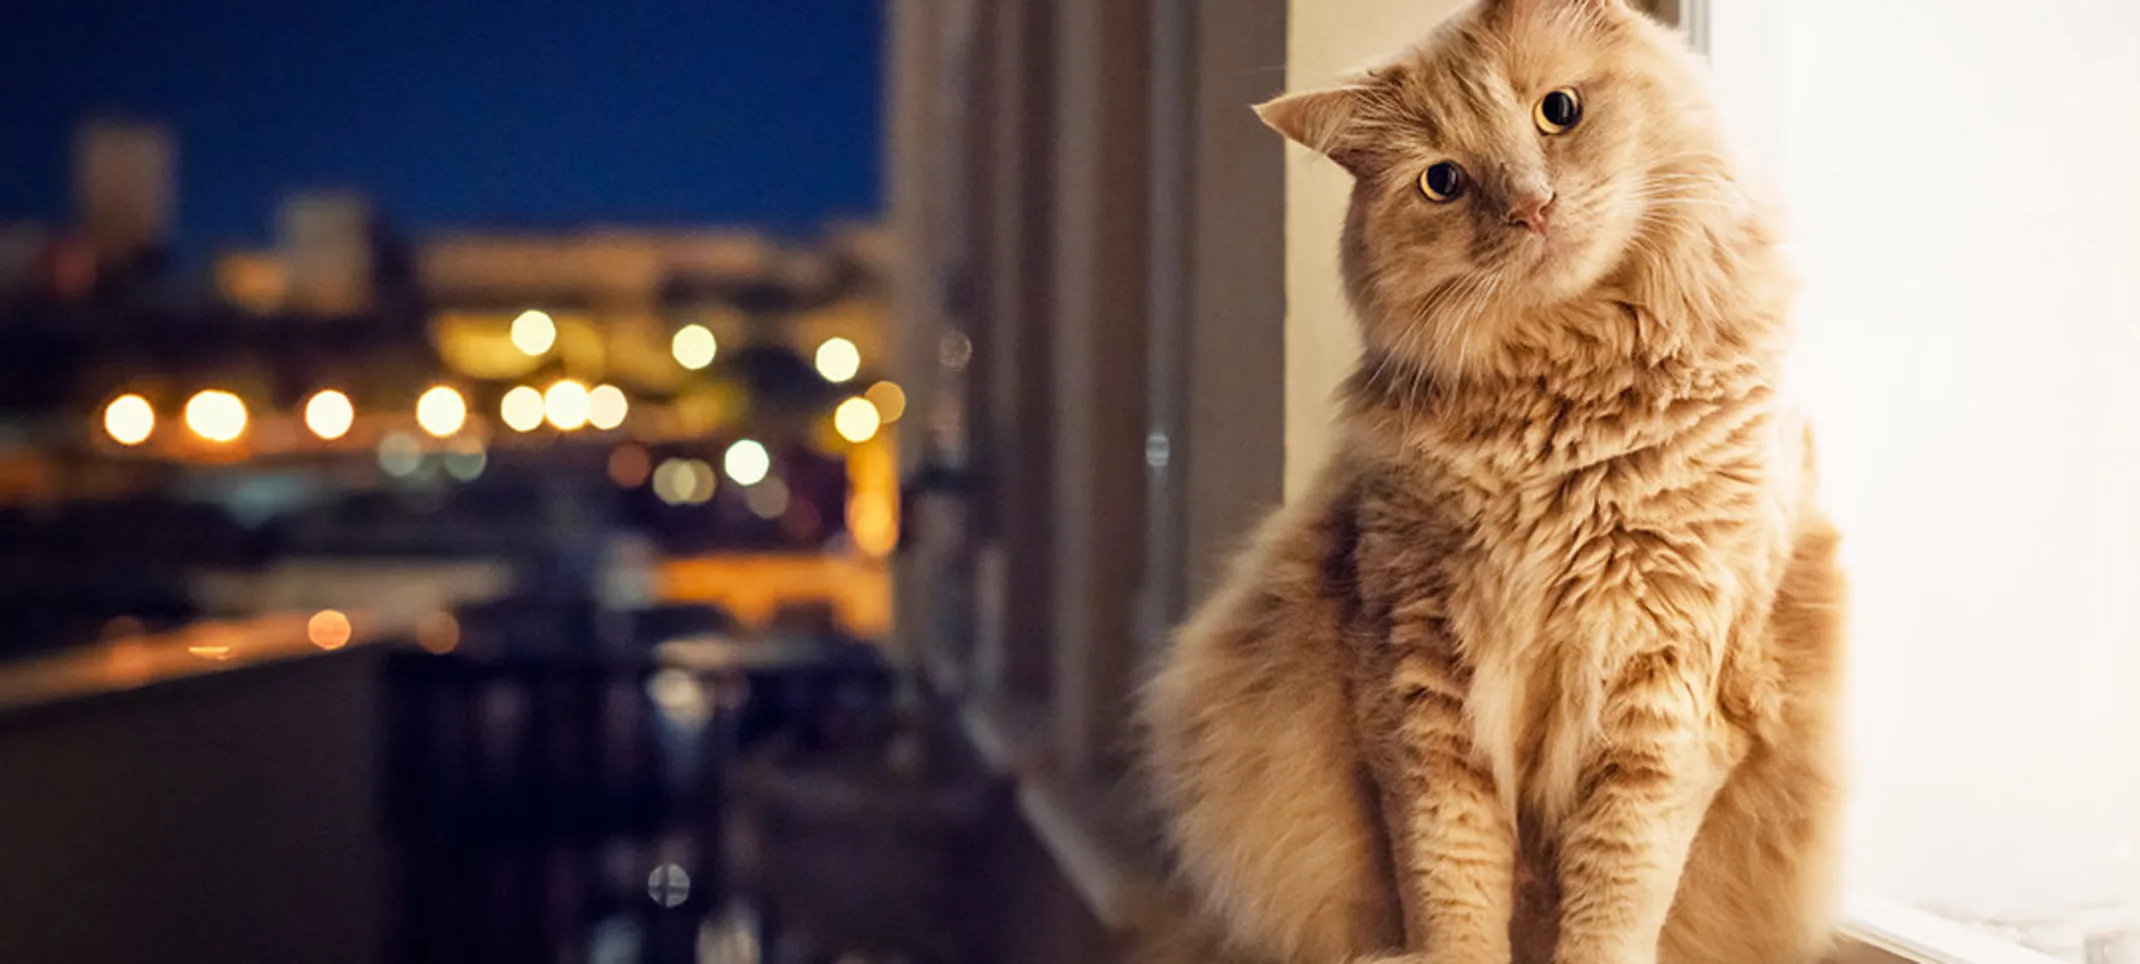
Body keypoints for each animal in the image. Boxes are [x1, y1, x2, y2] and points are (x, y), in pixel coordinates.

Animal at [1138, 1, 1857, 964]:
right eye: (1442, 181)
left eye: (1558, 111)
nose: (1530, 206)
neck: (1571, 407)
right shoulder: (1420, 678)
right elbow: (1451, 876)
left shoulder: (1666, 687)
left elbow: (1618, 889)